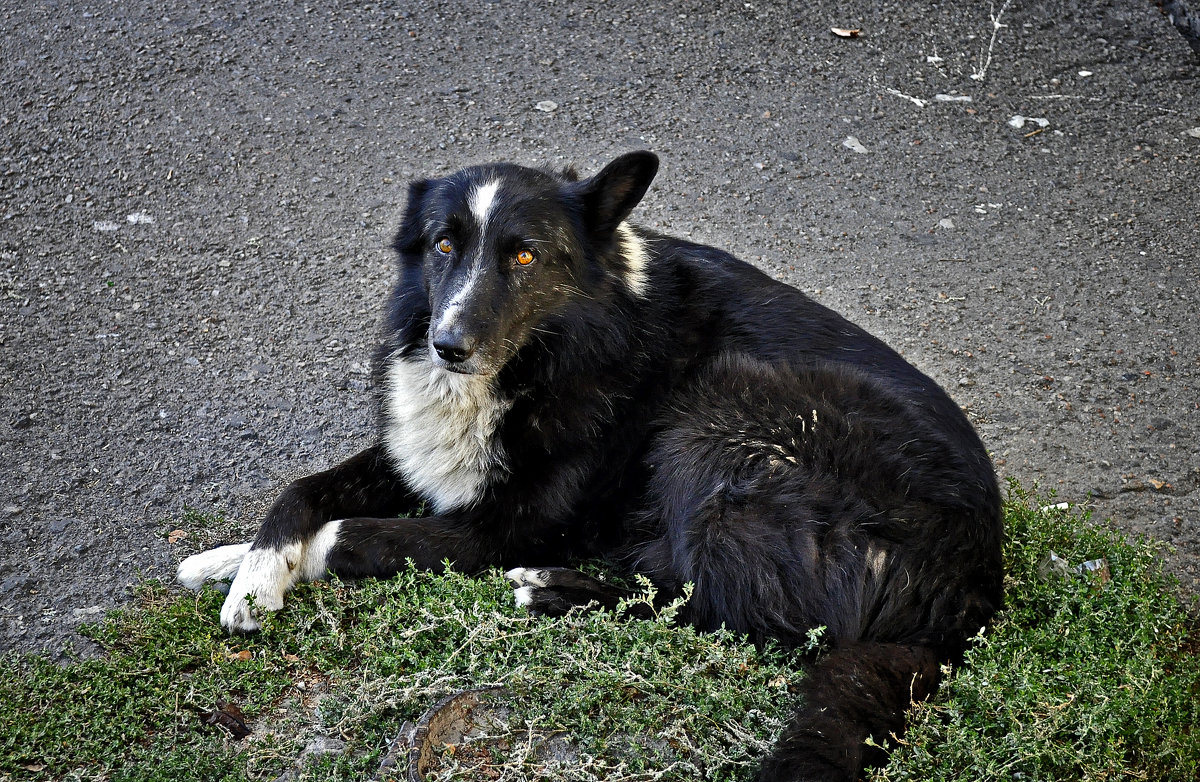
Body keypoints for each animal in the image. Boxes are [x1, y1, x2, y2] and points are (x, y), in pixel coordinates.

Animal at [177, 152, 1003, 782]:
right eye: (443, 245)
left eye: (524, 256)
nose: (447, 346)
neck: (557, 349)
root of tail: (973, 595)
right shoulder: (423, 458)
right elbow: (306, 489)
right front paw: (243, 569)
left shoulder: (501, 528)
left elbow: (350, 533)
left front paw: (273, 569)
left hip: (723, 415)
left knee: (731, 612)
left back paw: (548, 589)